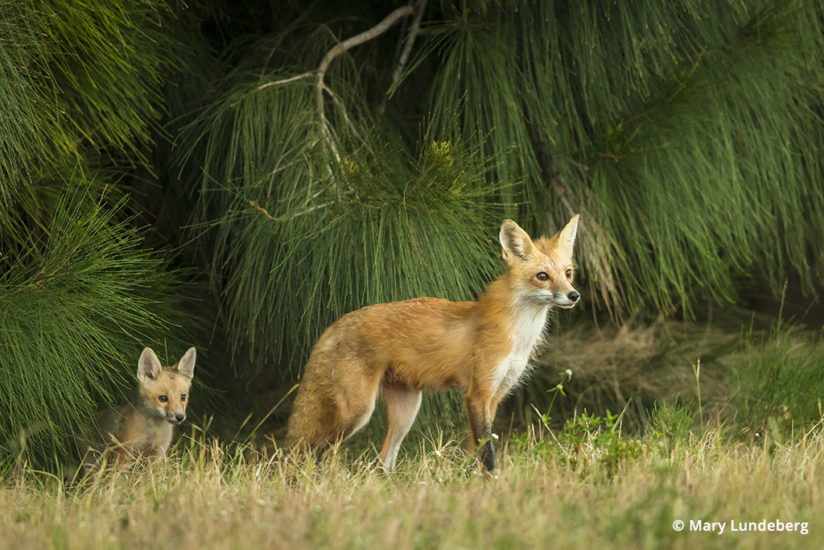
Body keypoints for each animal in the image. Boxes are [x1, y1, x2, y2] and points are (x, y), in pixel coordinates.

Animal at [286, 218, 584, 472]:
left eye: (568, 273)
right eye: (543, 276)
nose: (574, 295)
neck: (519, 335)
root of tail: (333, 326)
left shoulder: (495, 395)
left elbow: (477, 449)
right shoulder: (477, 394)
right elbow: (487, 454)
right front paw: (492, 484)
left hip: (405, 412)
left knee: (382, 462)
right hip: (357, 413)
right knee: (311, 453)